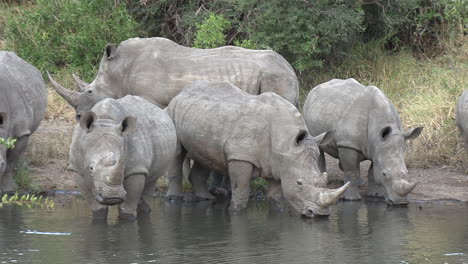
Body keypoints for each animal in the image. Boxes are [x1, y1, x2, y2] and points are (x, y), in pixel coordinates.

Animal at [48, 37, 300, 120]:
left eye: (90, 91)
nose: (78, 116)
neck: (120, 70)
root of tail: (291, 69)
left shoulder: (152, 99)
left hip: (275, 76)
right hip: (278, 74)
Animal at [166, 81, 350, 218]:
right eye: (299, 183)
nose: (321, 214)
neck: (285, 142)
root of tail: (181, 93)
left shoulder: (279, 164)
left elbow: (275, 196)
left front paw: (277, 212)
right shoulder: (240, 156)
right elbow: (241, 191)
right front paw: (235, 212)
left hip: (204, 115)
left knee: (204, 155)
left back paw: (206, 198)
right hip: (173, 110)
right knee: (177, 152)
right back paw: (174, 199)